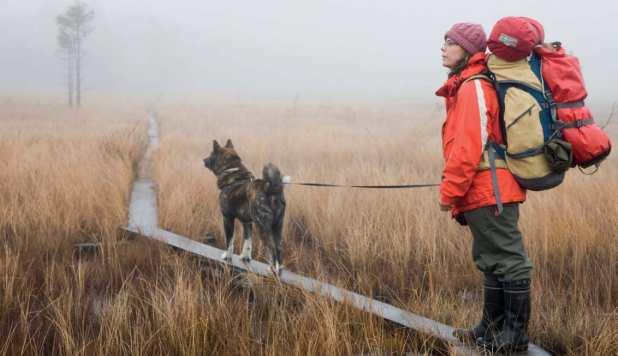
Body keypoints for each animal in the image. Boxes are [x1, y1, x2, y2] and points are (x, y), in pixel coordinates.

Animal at [205, 138, 286, 274]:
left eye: (211, 154)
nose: (203, 160)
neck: (232, 171)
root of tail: (272, 190)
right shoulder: (247, 223)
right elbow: (247, 242)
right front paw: (245, 258)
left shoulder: (227, 219)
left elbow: (229, 241)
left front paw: (227, 256)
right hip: (277, 227)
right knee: (279, 249)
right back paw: (278, 269)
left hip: (263, 228)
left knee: (271, 249)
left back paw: (271, 269)